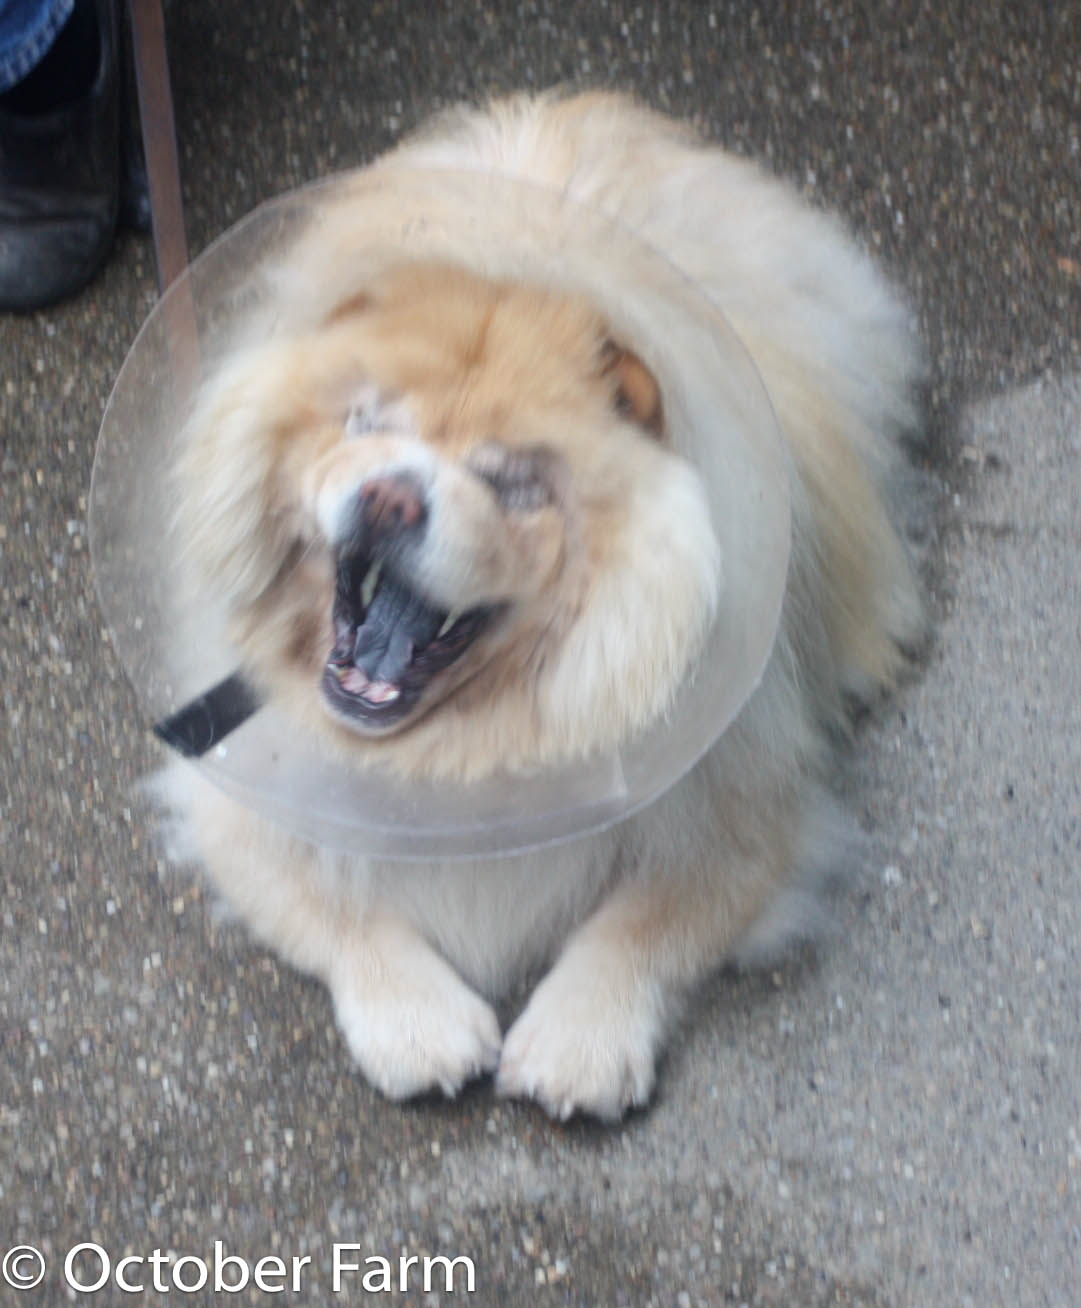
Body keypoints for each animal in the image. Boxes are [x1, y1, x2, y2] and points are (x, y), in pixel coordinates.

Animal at [159, 91, 926, 1120]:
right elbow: (339, 908)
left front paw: (574, 1047)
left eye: (514, 483)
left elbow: (640, 923)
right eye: (367, 422)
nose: (391, 496)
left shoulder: (745, 820)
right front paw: (423, 1029)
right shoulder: (242, 797)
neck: (467, 753)